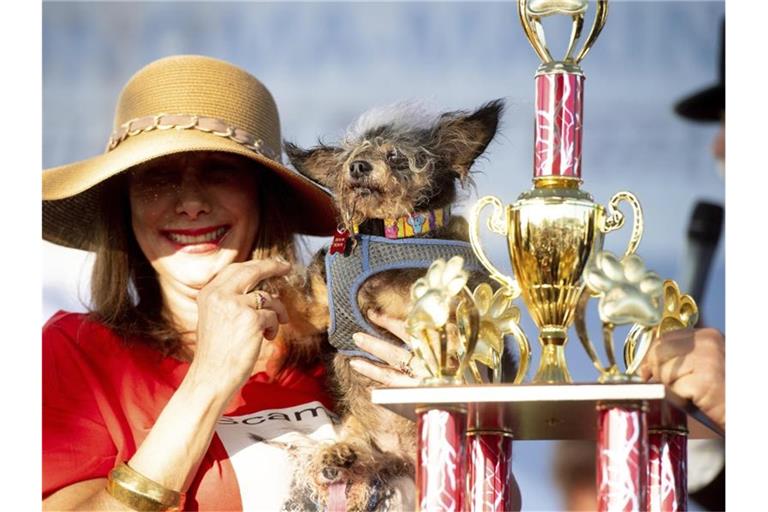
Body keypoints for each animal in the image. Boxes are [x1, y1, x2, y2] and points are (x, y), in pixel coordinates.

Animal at [284, 99, 505, 510]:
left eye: (397, 156)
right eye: (352, 157)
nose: (358, 167)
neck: (387, 234)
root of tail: (403, 454)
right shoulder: (318, 308)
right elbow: (291, 301)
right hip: (360, 432)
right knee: (361, 450)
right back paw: (340, 454)